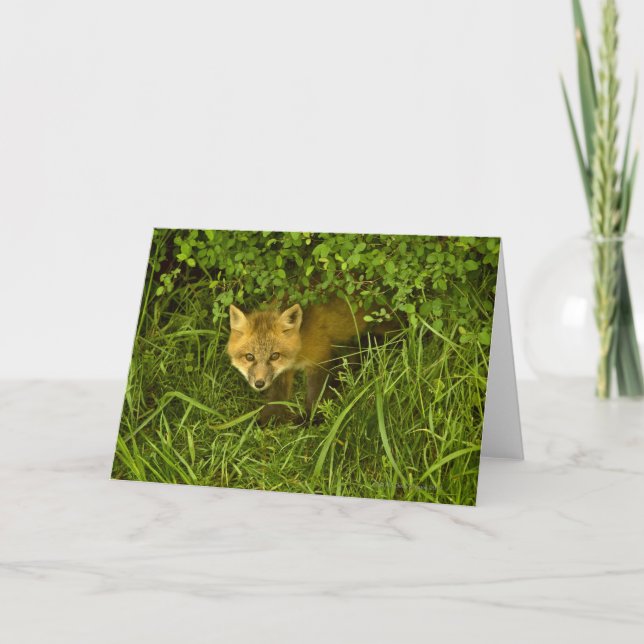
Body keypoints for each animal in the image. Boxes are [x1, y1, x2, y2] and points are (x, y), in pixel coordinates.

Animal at [227, 298, 385, 425]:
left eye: (274, 356)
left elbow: (314, 394)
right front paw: (269, 419)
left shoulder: (319, 358)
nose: (259, 384)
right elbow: (277, 396)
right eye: (249, 357)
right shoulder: (284, 371)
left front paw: (311, 419)